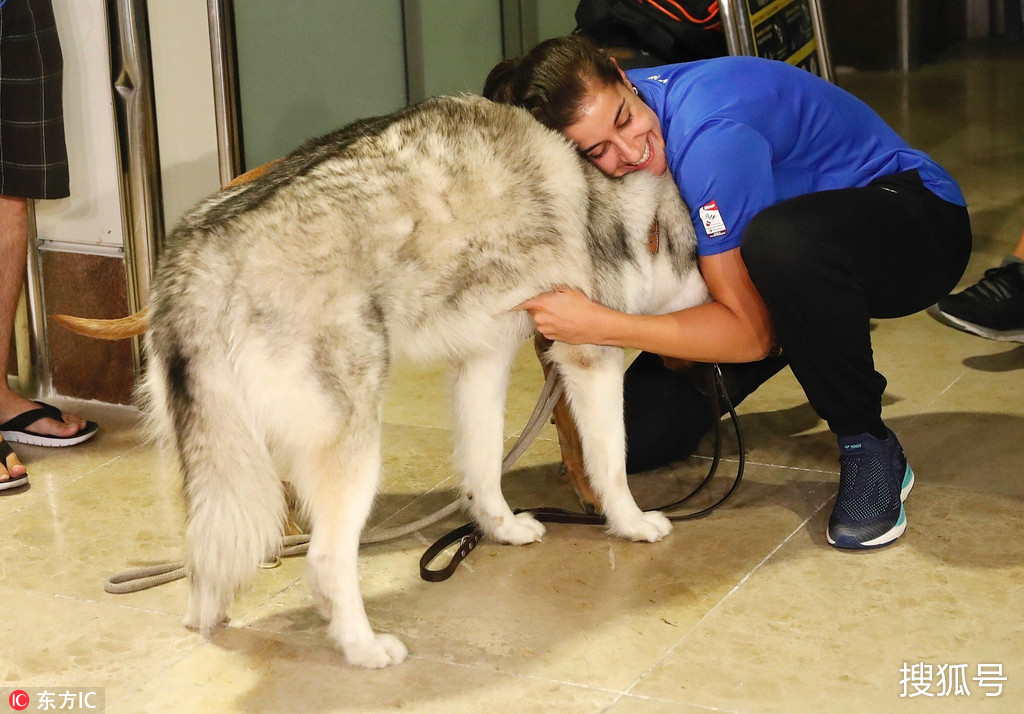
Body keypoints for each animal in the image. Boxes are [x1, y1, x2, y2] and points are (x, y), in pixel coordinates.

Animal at [148, 96, 708, 667]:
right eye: (705, 257)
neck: (622, 209)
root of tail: (201, 254)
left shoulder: (483, 362)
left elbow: (484, 468)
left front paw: (501, 529)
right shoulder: (591, 360)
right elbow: (611, 464)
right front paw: (633, 524)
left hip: (220, 463)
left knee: (205, 550)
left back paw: (211, 618)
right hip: (354, 451)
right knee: (326, 560)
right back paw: (364, 647)